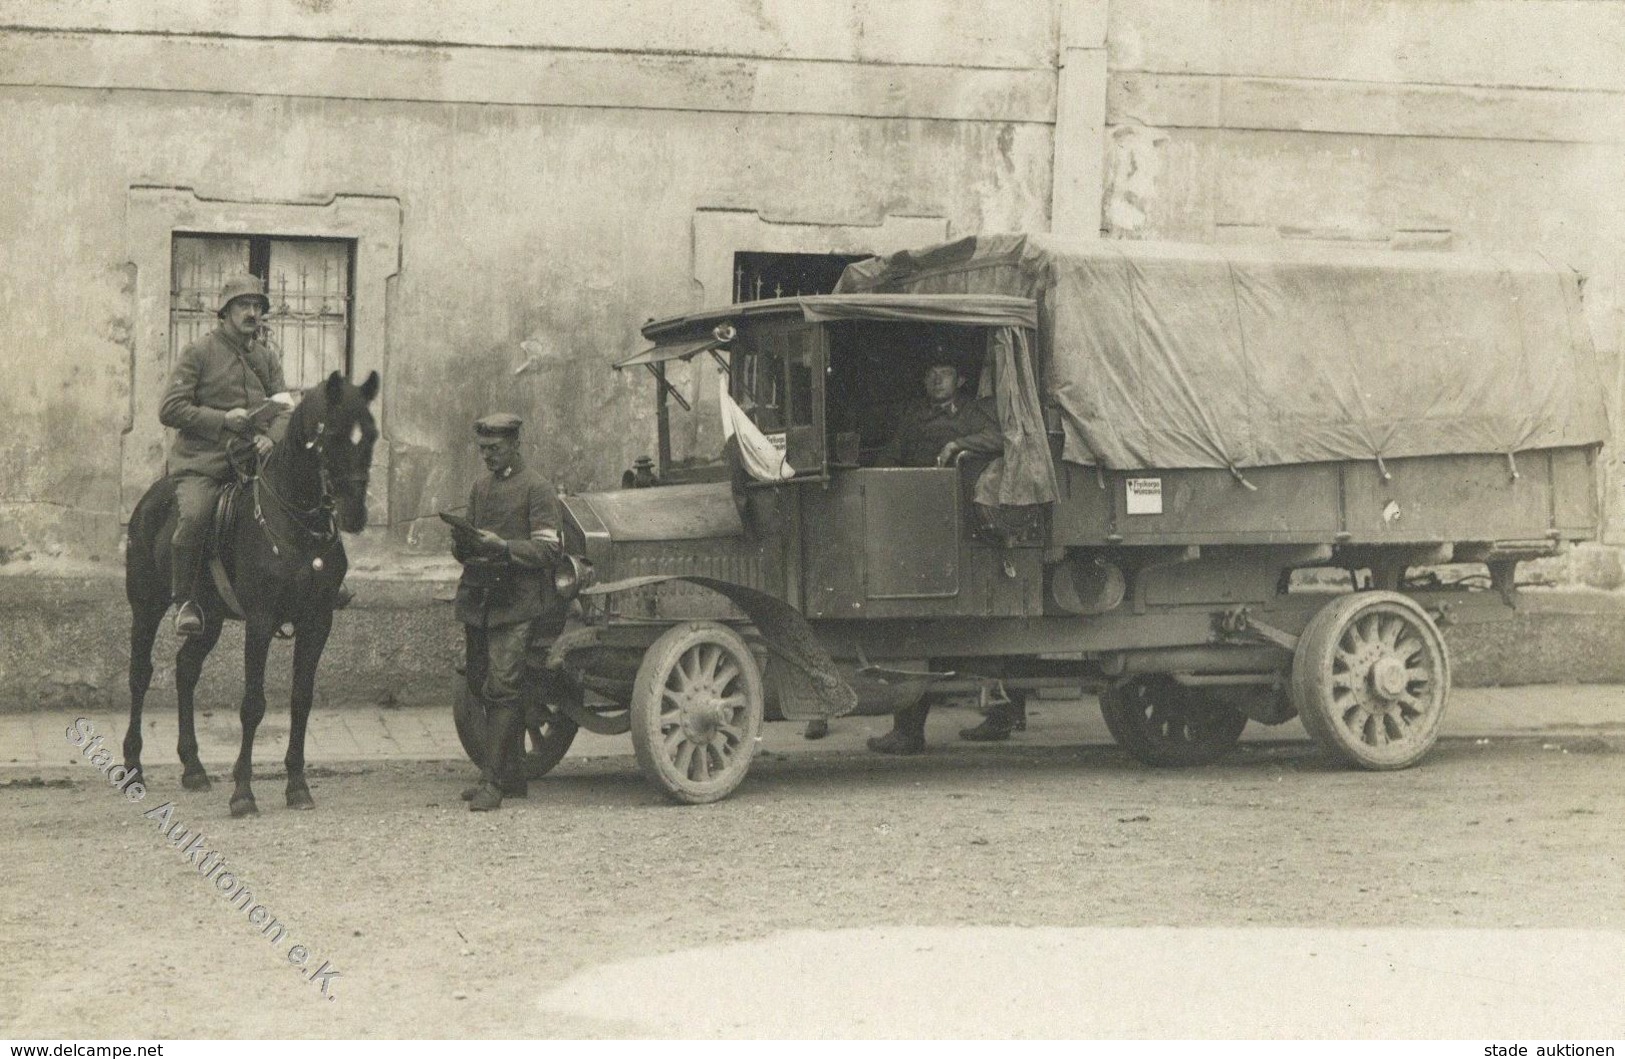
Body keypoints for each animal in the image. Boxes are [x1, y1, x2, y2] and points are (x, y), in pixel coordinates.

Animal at [123, 371, 380, 818]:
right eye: (331, 435)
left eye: (372, 435)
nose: (354, 514)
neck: (298, 525)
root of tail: (154, 494)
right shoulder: (260, 622)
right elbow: (253, 705)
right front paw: (243, 792)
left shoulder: (318, 621)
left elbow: (301, 699)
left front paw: (297, 785)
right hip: (147, 607)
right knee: (141, 674)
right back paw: (134, 766)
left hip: (208, 616)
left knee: (186, 669)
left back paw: (193, 767)